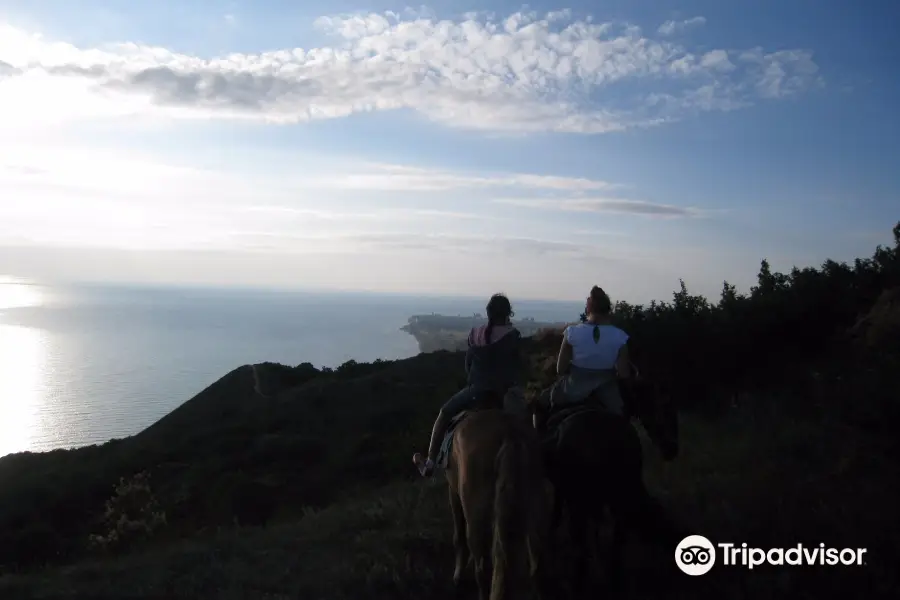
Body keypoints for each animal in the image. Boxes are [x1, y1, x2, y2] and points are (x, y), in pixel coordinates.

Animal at [444, 394, 556, 600]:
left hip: (477, 519)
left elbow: (458, 536)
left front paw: (457, 575)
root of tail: (510, 435)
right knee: (537, 565)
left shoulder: (453, 493)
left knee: (482, 569)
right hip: (536, 511)